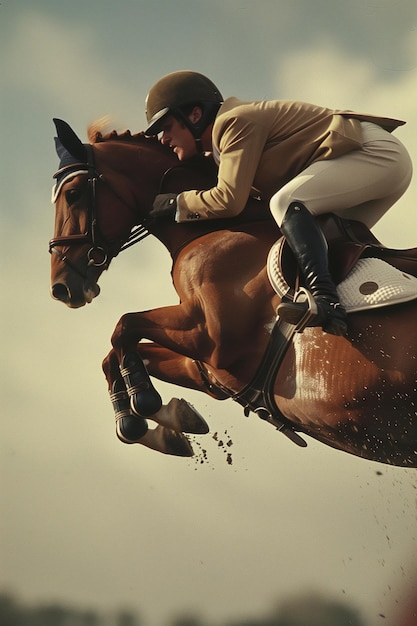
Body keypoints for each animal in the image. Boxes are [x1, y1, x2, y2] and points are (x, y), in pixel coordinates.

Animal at [48, 119, 416, 466]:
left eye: (73, 194)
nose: (61, 287)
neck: (216, 227)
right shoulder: (207, 369)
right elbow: (117, 352)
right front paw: (160, 422)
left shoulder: (211, 338)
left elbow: (123, 326)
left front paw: (144, 402)